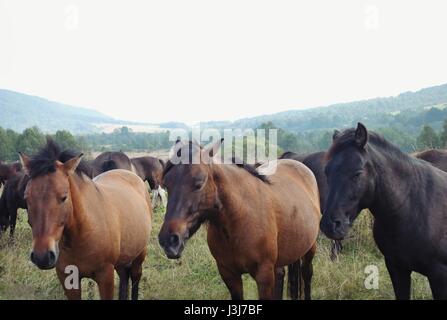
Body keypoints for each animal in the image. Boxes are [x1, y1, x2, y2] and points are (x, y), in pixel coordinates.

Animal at [19, 140, 152, 300]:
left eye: (64, 197)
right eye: (26, 197)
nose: (42, 256)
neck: (84, 231)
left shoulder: (105, 276)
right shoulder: (68, 279)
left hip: (140, 254)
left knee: (135, 277)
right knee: (124, 277)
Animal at [159, 140, 320, 300]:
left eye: (199, 183)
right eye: (166, 185)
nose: (168, 240)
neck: (237, 222)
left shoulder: (264, 276)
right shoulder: (229, 275)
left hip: (309, 249)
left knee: (307, 275)